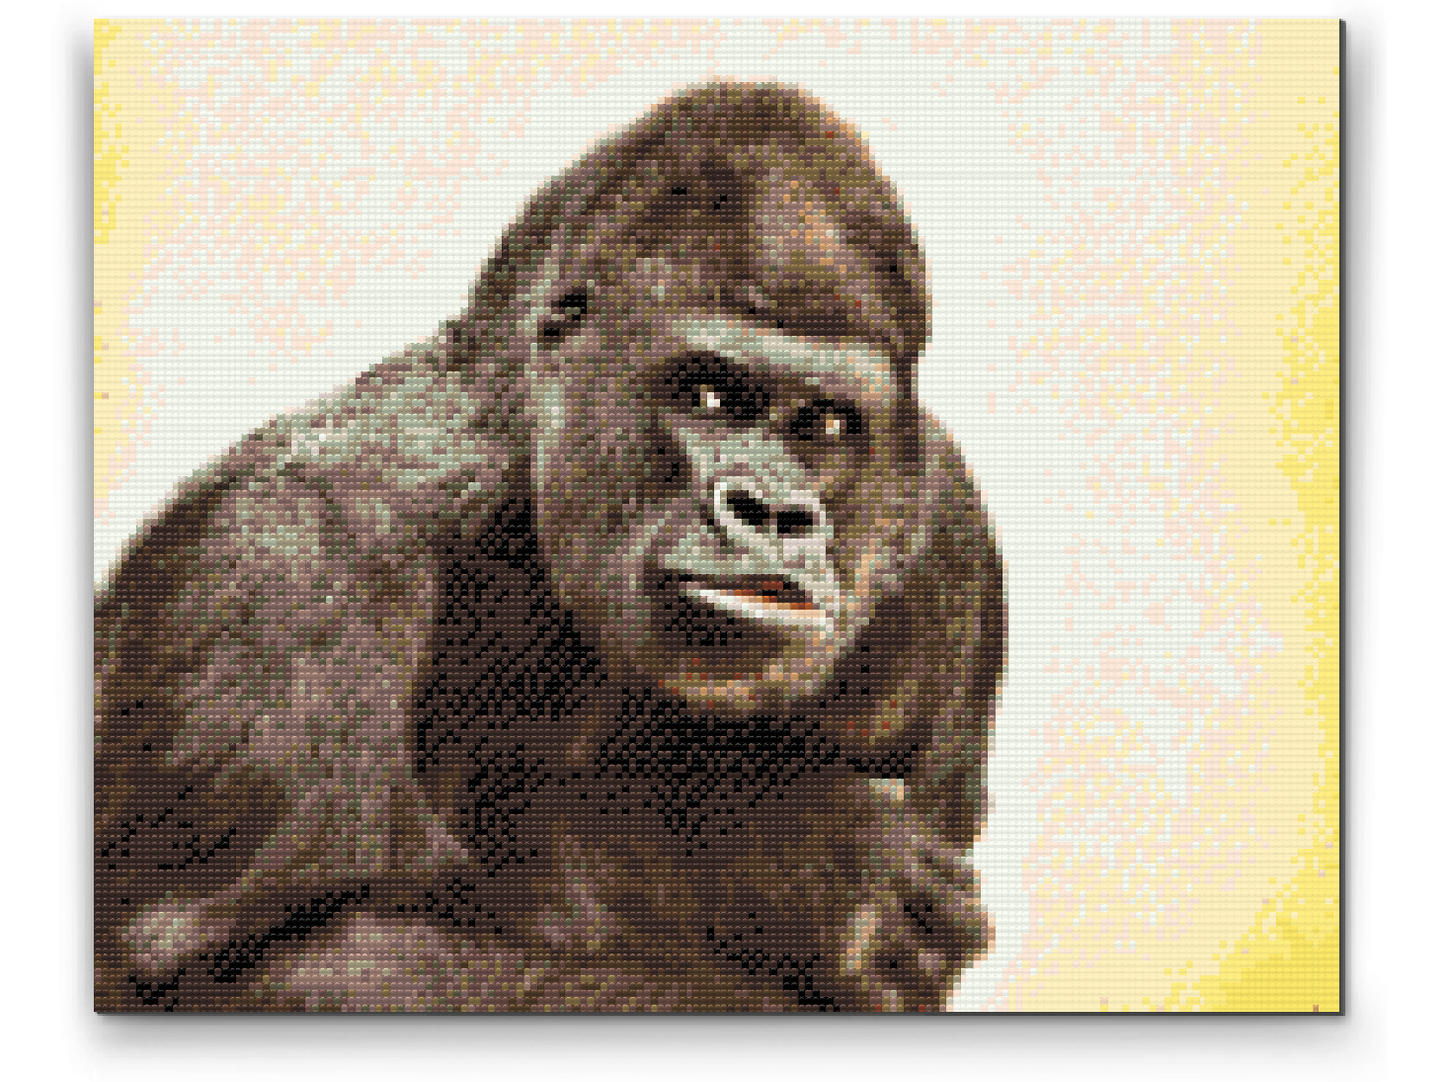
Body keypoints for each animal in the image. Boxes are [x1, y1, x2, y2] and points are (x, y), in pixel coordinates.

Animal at [94, 82, 1005, 1012]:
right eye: (708, 396)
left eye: (822, 424)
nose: (774, 513)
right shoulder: (280, 554)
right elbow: (248, 961)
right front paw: (780, 853)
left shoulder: (947, 536)